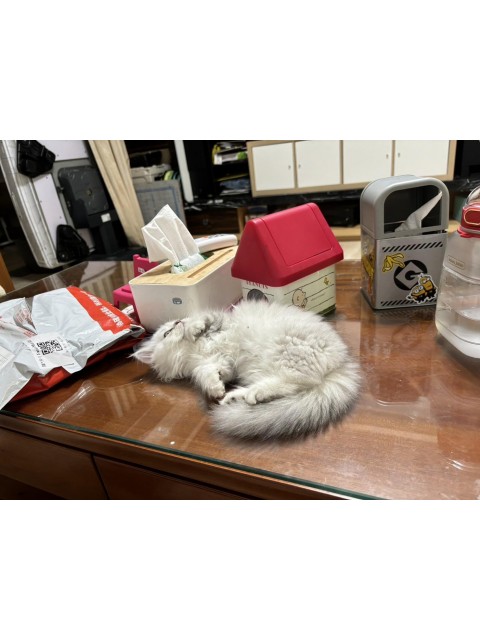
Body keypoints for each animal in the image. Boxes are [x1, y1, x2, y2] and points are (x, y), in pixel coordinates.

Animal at [133, 300, 361, 440]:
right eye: (166, 333)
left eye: (175, 323)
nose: (180, 321)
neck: (193, 351)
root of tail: (342, 362)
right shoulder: (220, 364)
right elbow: (207, 373)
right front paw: (215, 389)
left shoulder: (218, 321)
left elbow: (202, 320)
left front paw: (193, 328)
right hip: (261, 368)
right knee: (290, 385)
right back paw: (236, 397)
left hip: (287, 353)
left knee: (299, 383)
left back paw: (251, 395)